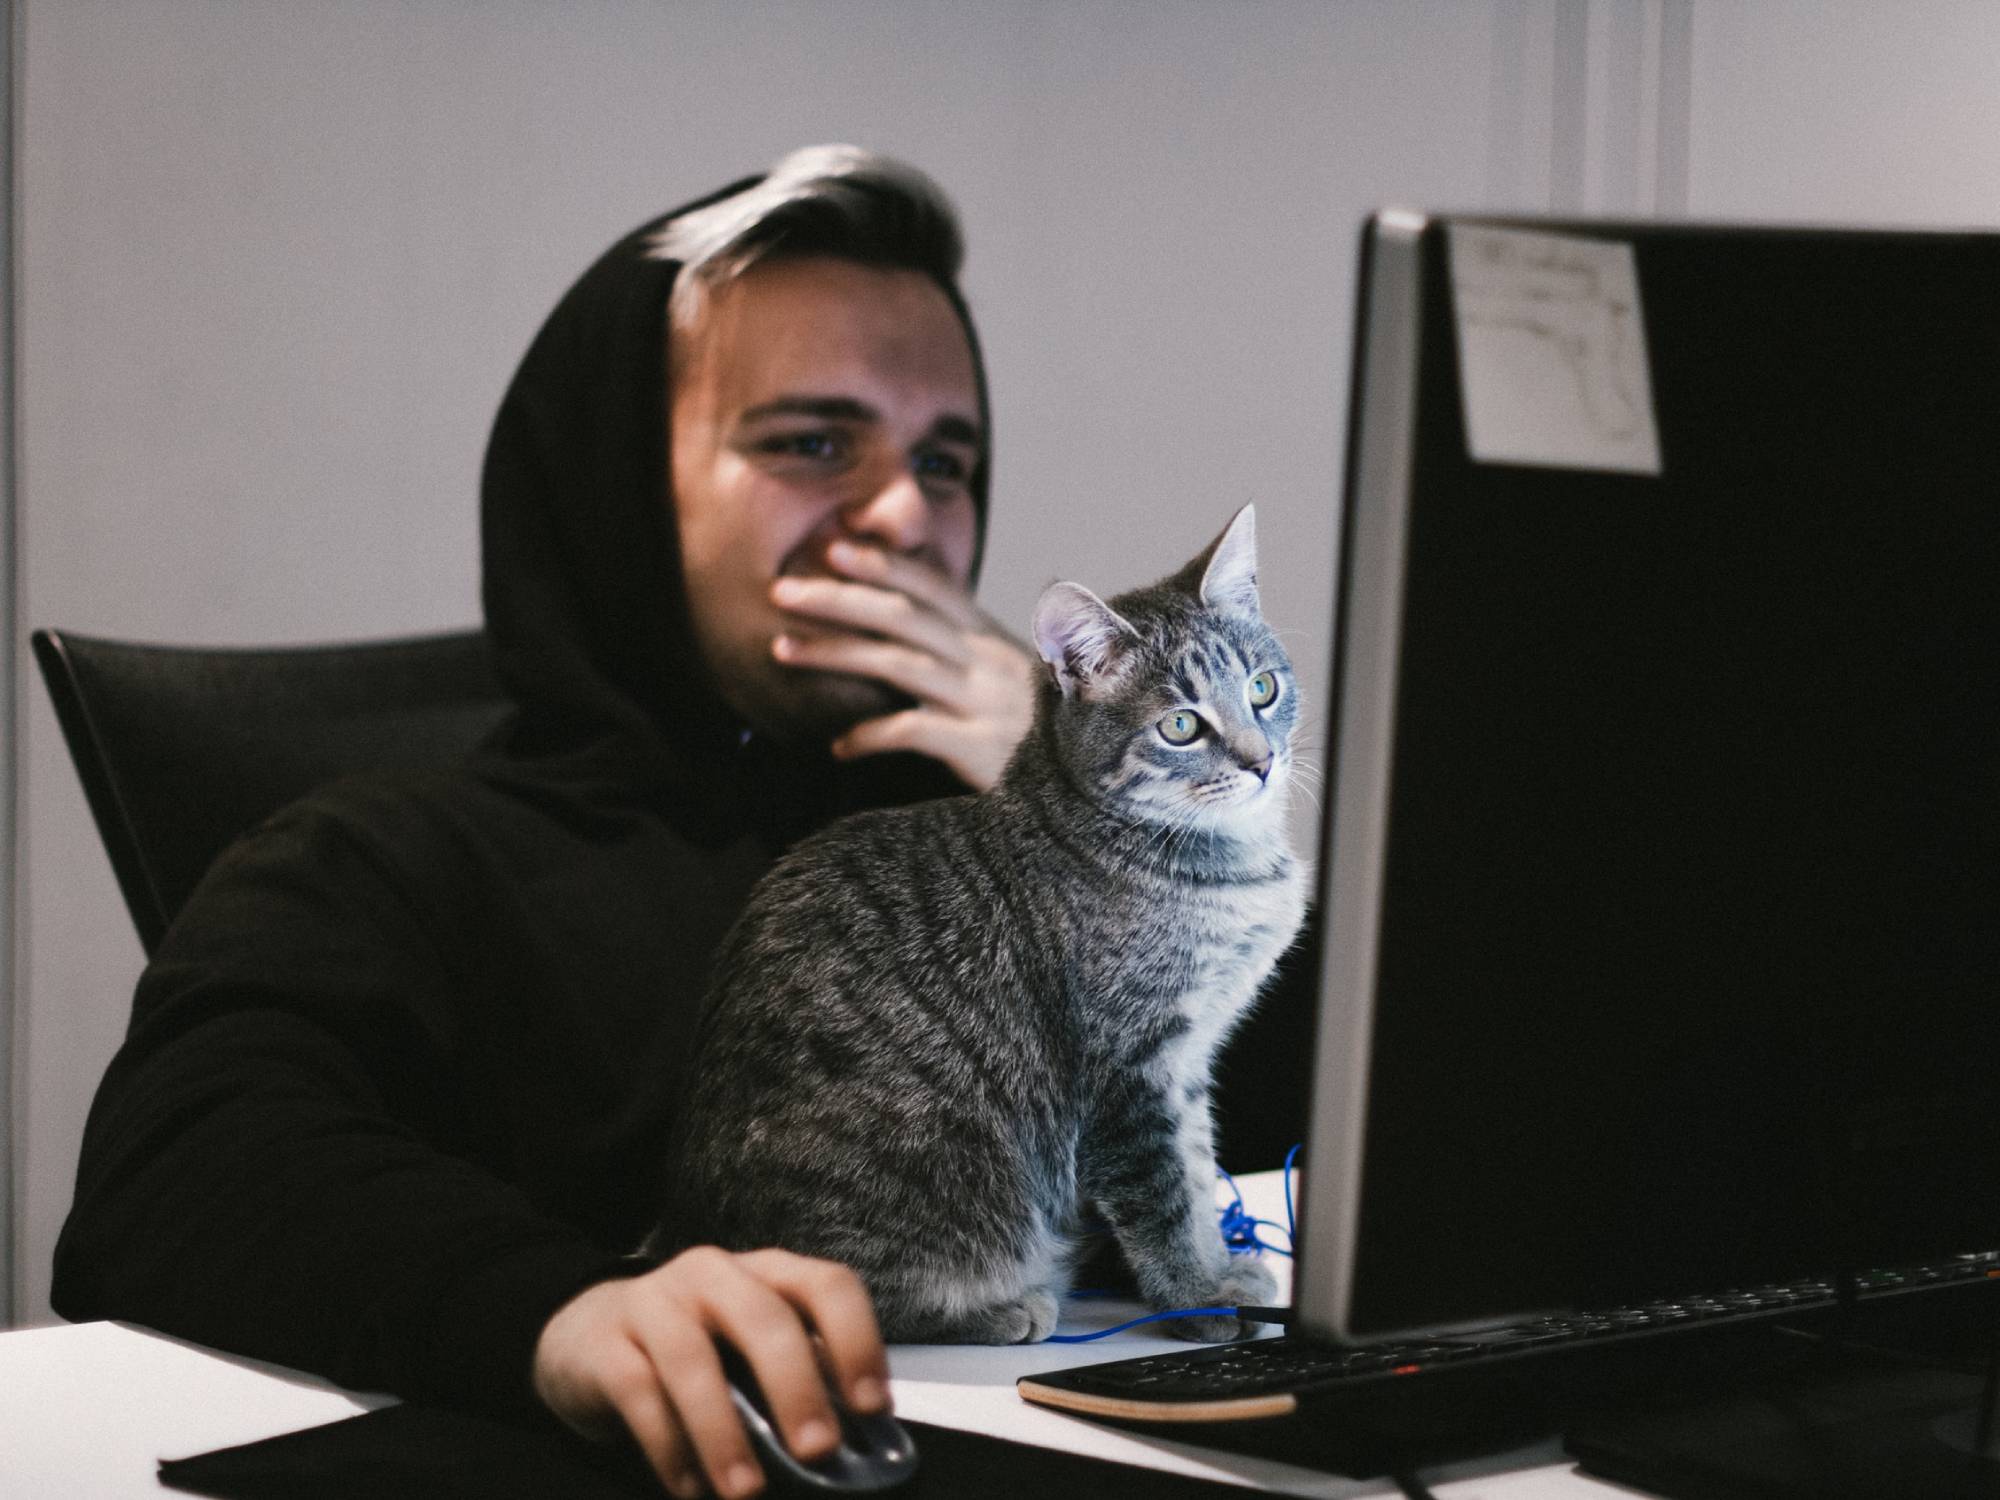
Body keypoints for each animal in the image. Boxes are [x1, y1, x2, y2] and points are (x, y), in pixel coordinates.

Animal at [660, 512, 1312, 1344]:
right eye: (1180, 726)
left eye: (1262, 688)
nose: (1262, 762)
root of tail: (685, 1231)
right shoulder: (1130, 1068)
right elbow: (1165, 1197)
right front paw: (1198, 1296)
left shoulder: (1188, 1059)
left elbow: (1198, 1170)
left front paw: (1222, 1267)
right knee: (847, 1296)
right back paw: (1003, 1307)